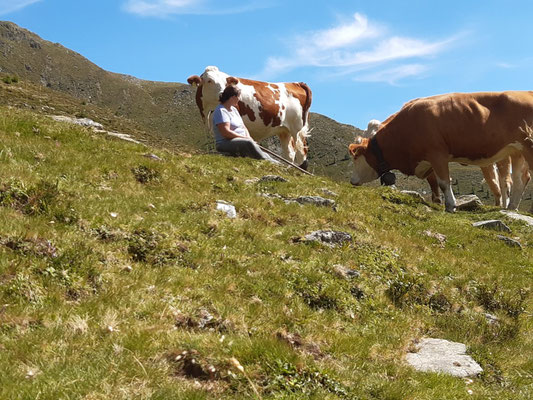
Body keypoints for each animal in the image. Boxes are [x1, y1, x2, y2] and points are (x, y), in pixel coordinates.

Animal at [348, 91, 532, 212]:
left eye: (355, 158)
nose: (351, 180)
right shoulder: (427, 161)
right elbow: (434, 183)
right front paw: (437, 202)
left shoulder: (437, 154)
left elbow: (444, 182)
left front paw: (451, 206)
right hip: (516, 151)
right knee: (519, 179)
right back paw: (511, 208)